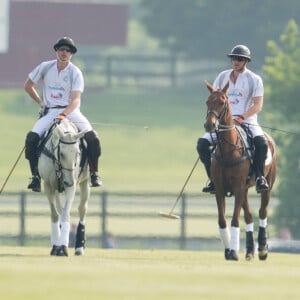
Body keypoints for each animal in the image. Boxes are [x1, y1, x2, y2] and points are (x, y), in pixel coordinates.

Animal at [37, 118, 89, 256]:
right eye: (61, 153)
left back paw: (79, 247)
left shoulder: (72, 187)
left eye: (78, 152)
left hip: (85, 182)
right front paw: (56, 246)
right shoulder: (48, 186)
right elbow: (55, 214)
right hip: (57, 189)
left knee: (82, 208)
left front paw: (63, 247)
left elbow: (66, 214)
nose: (68, 182)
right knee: (59, 210)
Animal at [204, 80, 276, 260]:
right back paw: (249, 251)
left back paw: (262, 250)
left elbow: (235, 220)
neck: (228, 151)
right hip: (244, 190)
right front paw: (229, 251)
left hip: (267, 186)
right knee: (249, 216)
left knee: (262, 212)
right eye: (207, 102)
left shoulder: (237, 187)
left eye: (222, 102)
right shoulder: (221, 189)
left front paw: (234, 252)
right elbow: (222, 220)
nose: (209, 125)